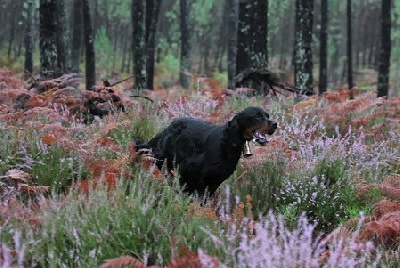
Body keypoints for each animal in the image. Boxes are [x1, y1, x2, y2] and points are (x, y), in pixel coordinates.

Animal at [138, 107, 276, 197]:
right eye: (258, 116)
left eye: (267, 115)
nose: (275, 124)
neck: (227, 143)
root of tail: (168, 128)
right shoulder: (189, 171)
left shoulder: (215, 181)